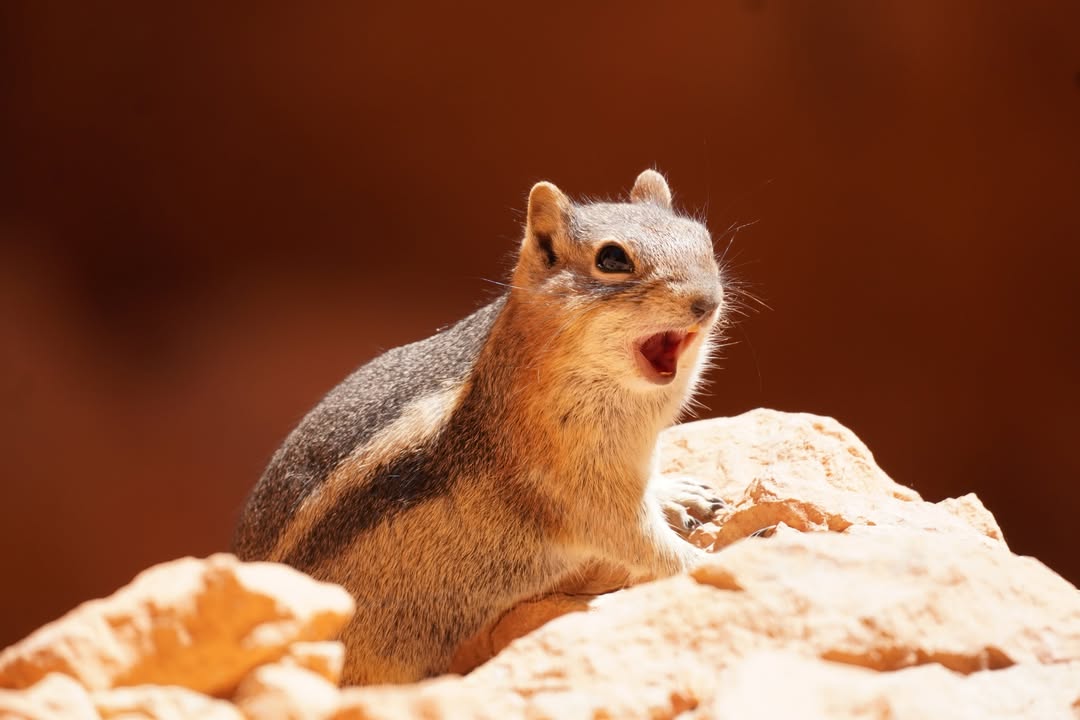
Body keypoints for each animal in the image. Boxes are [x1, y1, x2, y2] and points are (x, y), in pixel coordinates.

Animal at [233, 170, 727, 685]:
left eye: (702, 238)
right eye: (612, 258)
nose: (707, 302)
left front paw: (682, 495)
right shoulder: (580, 490)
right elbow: (644, 545)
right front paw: (709, 561)